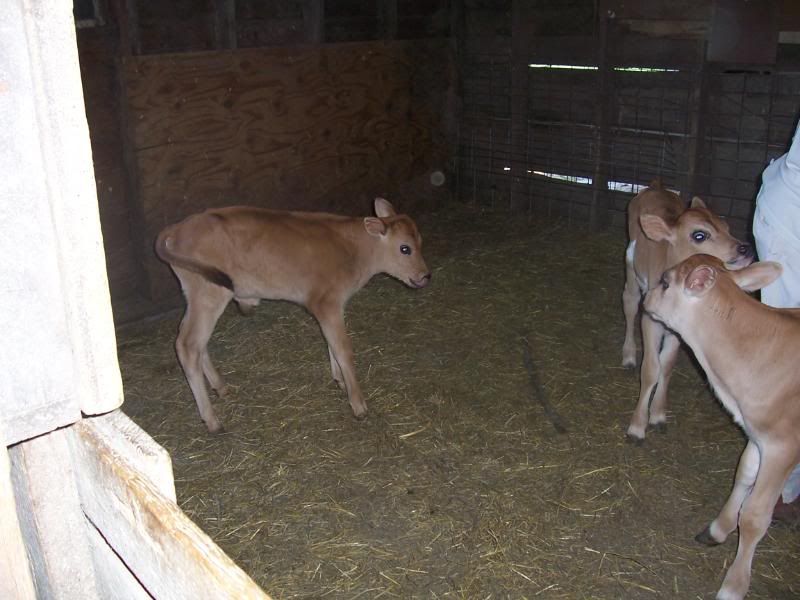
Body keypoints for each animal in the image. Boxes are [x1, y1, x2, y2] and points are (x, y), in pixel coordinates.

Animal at [155, 198, 431, 433]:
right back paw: (212, 421)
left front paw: (339, 379)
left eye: (420, 242)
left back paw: (220, 387)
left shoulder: (332, 306)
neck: (354, 250)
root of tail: (177, 228)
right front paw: (358, 404)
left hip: (198, 296)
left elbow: (331, 344)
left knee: (195, 342)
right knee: (188, 344)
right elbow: (343, 349)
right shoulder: (326, 303)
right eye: (405, 248)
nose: (426, 276)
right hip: (208, 294)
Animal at [621, 181, 753, 441]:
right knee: (629, 301)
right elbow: (651, 368)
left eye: (726, 227)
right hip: (631, 263)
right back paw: (629, 355)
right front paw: (637, 427)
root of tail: (656, 186)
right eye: (699, 235)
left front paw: (658, 415)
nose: (744, 248)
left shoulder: (680, 327)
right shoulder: (651, 318)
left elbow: (667, 365)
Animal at [643, 254, 797, 600]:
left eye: (666, 281)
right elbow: (744, 473)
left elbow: (755, 515)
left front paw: (734, 585)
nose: (646, 299)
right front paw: (718, 528)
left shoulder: (784, 446)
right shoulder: (757, 433)